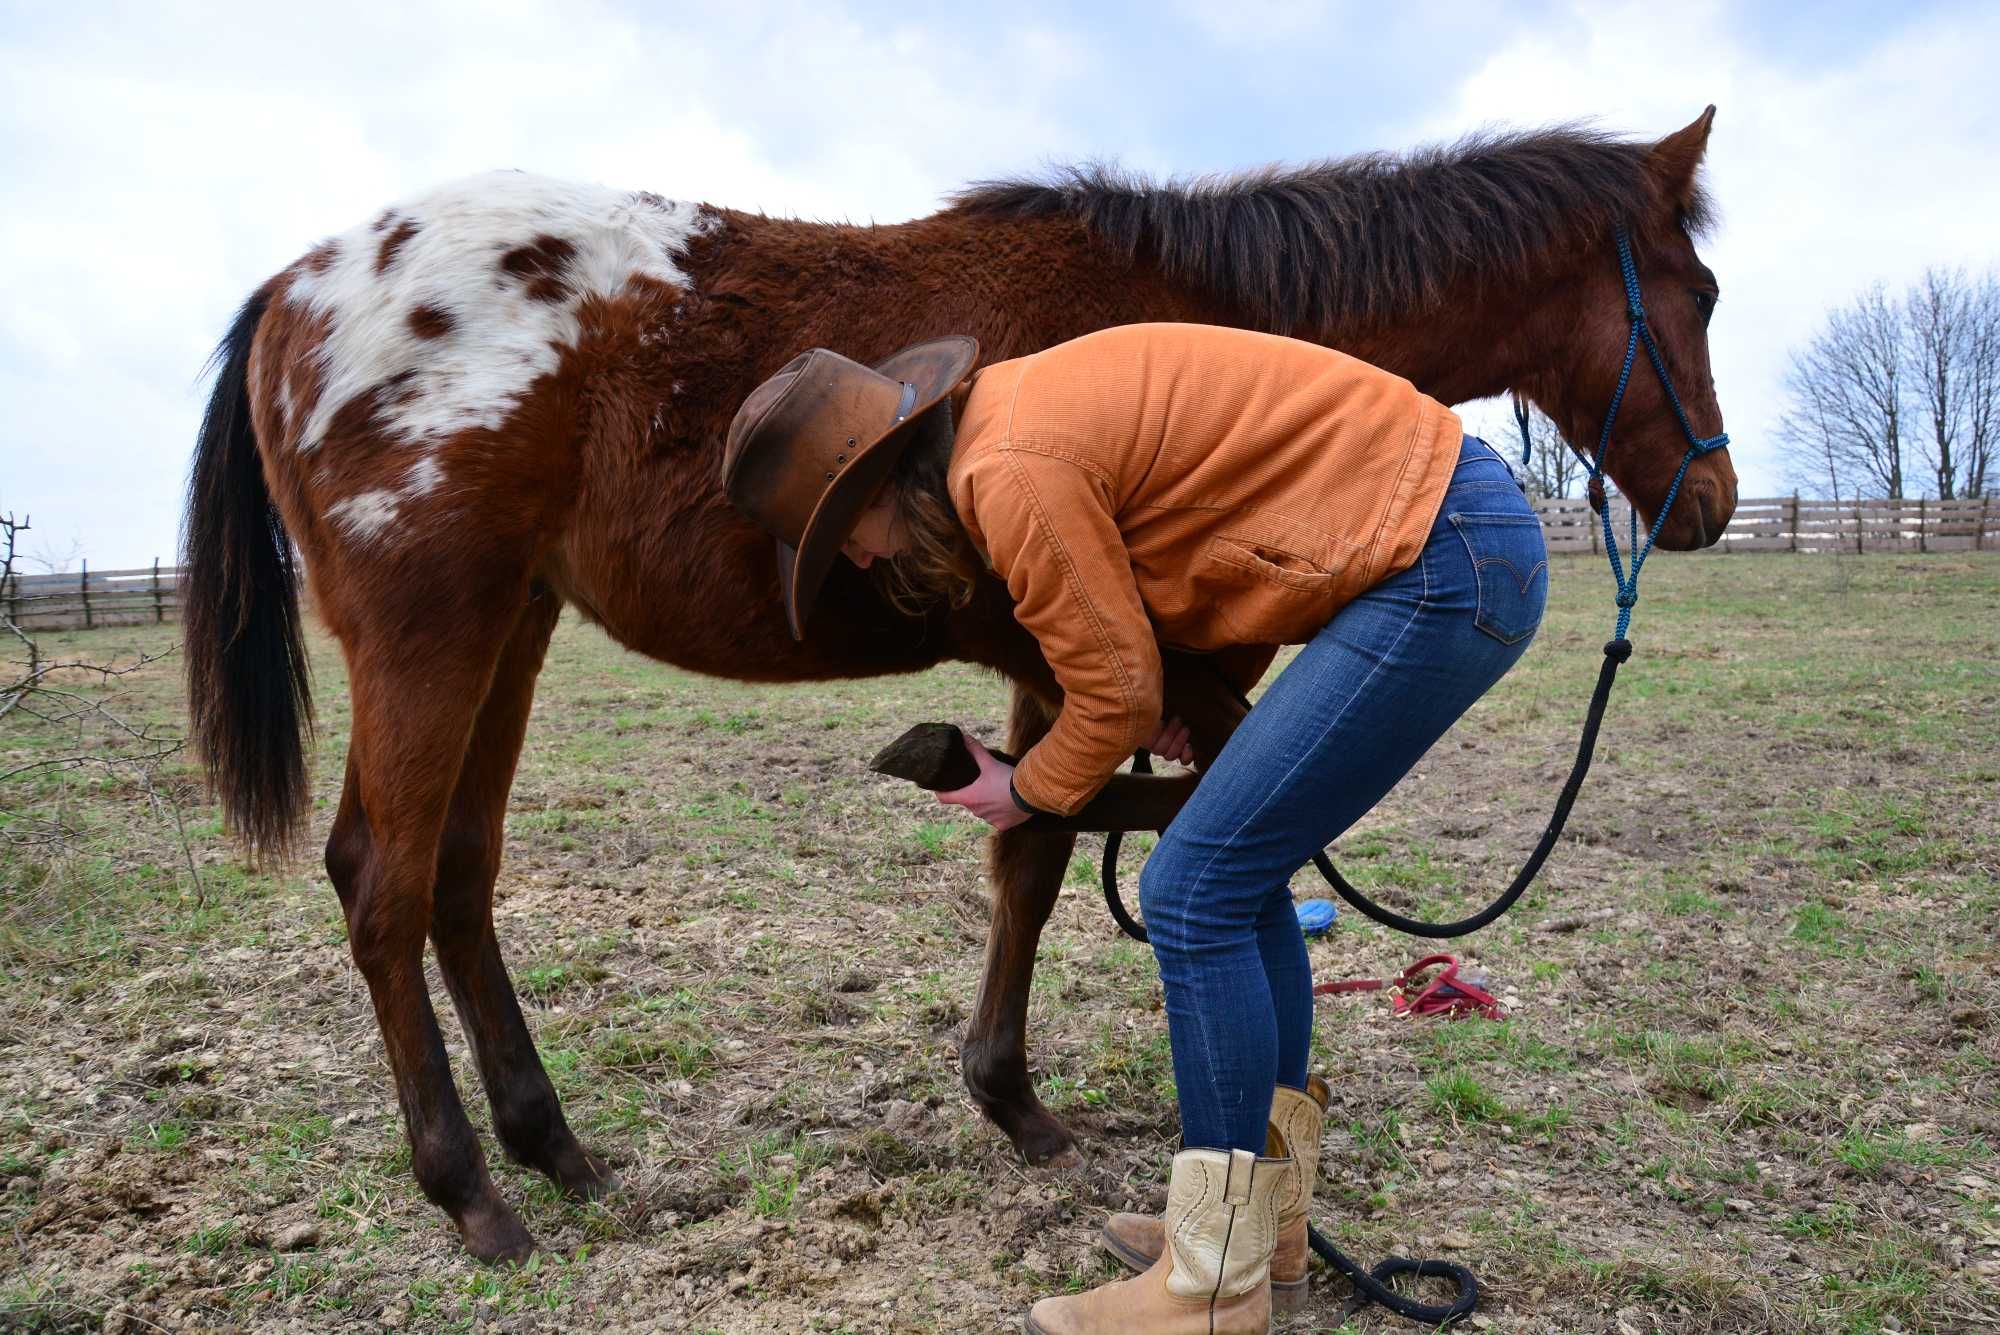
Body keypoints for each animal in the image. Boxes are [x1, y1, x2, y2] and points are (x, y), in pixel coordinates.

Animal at [180, 106, 1736, 1263]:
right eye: (1702, 291)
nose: (1710, 500)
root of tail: (299, 285)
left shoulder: (1111, 676)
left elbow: (1053, 852)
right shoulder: (1111, 660)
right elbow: (1047, 853)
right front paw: (1021, 1105)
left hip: (512, 626)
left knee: (458, 876)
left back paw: (553, 1146)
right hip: (429, 635)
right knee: (383, 883)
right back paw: (473, 1194)